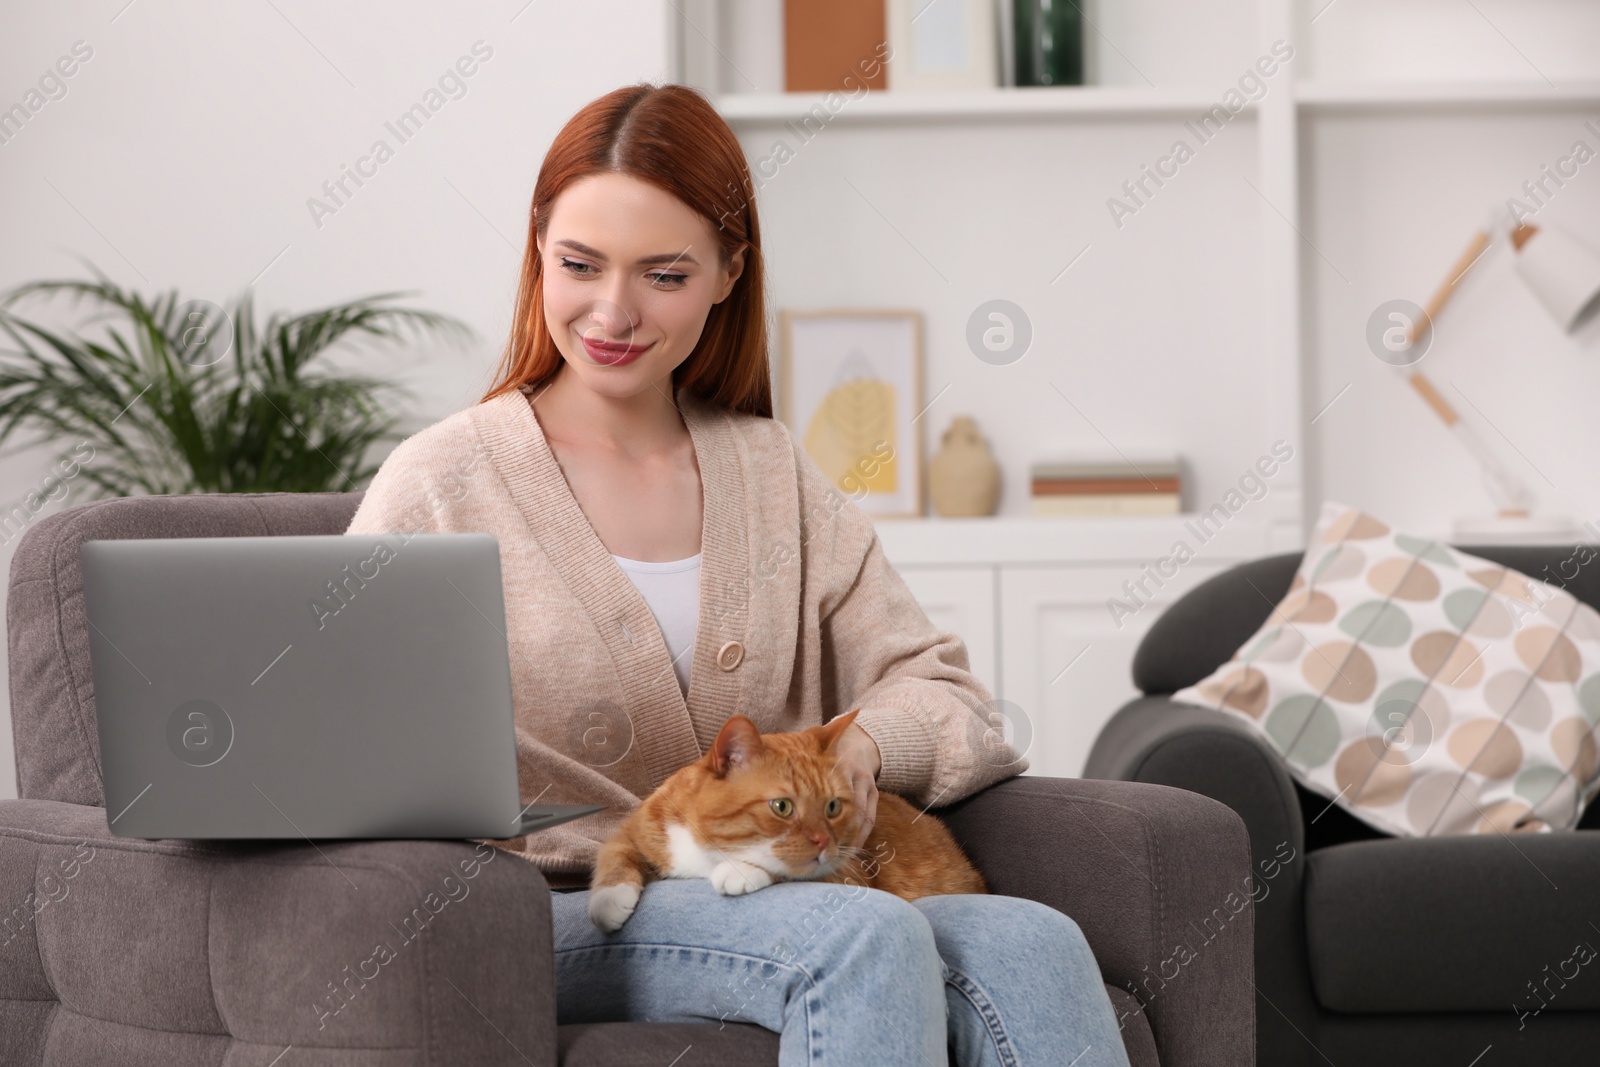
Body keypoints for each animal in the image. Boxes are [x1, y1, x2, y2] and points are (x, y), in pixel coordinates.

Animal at [592, 713, 985, 927]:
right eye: (782, 807)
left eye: (832, 807)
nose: (823, 842)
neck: (706, 851)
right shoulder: (636, 828)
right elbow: (614, 853)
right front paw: (609, 901)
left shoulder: (847, 869)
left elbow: (789, 868)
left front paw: (740, 871)